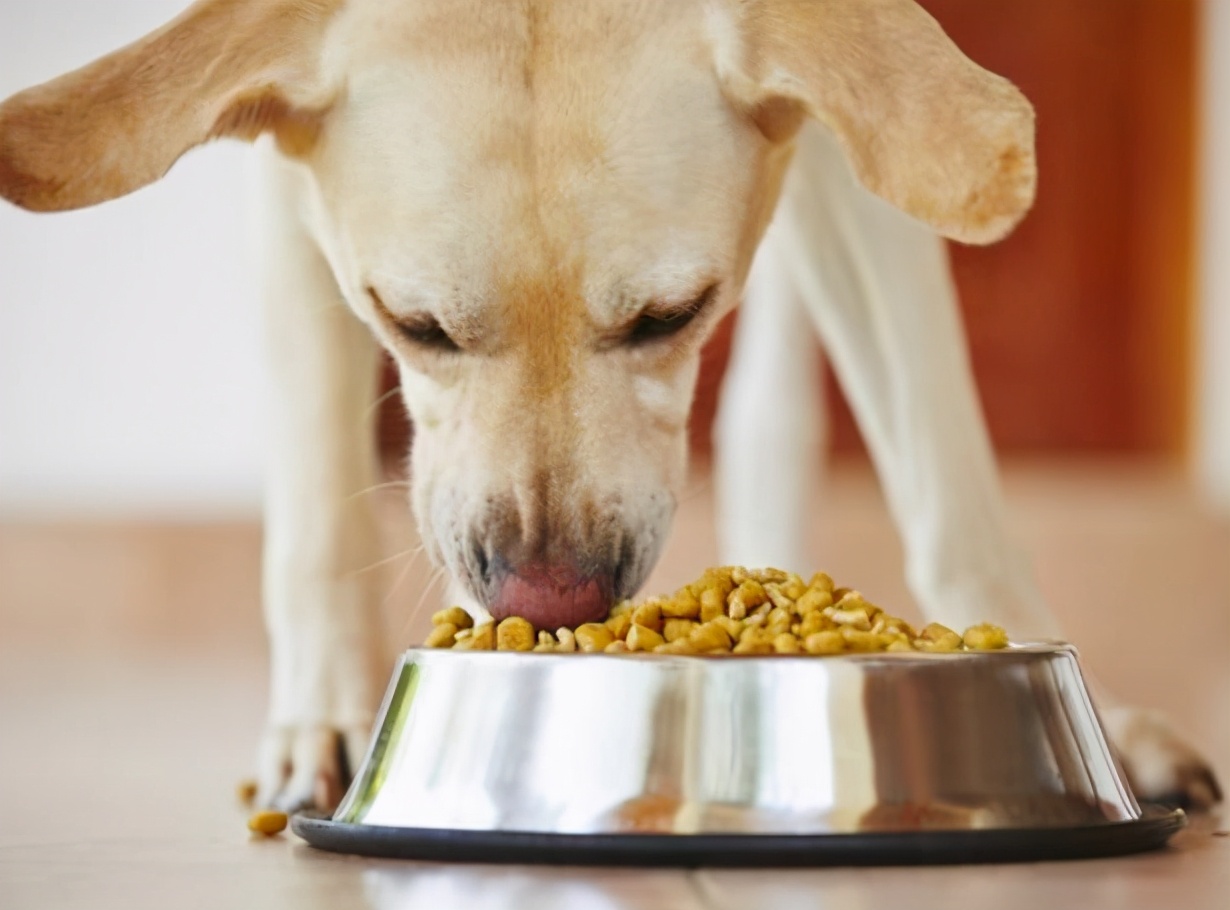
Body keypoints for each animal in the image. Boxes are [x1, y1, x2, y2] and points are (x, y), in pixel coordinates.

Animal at [0, 0, 1215, 811]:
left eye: (674, 312)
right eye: (414, 322)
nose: (549, 600)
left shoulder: (871, 138)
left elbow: (946, 470)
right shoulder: (292, 197)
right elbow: (313, 497)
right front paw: (330, 716)